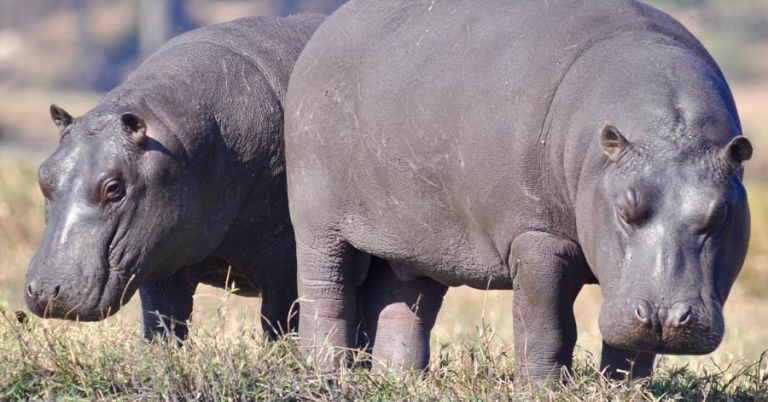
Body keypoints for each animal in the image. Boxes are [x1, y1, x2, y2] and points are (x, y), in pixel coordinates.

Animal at [24, 14, 325, 341]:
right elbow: (163, 323)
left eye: (114, 188)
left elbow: (281, 324)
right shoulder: (157, 257)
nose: (45, 291)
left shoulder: (285, 267)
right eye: (44, 175)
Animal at [284, 0, 752, 381]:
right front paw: (545, 389)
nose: (664, 317)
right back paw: (327, 373)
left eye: (719, 215)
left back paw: (397, 379)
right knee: (326, 293)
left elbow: (631, 348)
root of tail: (329, 26)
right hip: (317, 224)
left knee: (406, 306)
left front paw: (624, 391)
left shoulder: (628, 286)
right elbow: (546, 323)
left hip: (415, 238)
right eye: (624, 209)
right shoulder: (538, 237)